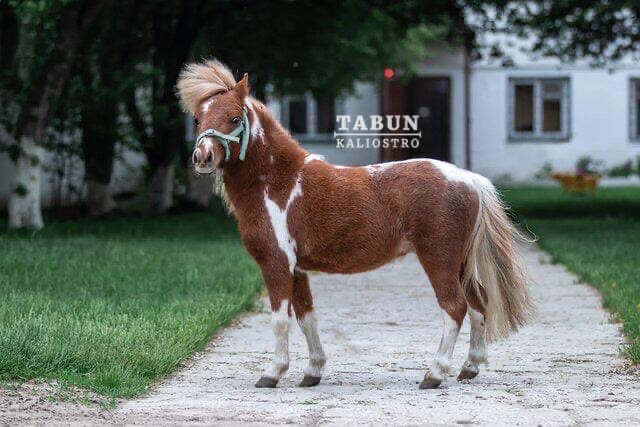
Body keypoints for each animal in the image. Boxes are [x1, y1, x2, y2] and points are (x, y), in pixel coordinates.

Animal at [176, 61, 536, 392]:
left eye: (235, 118)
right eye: (197, 119)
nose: (202, 157)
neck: (278, 183)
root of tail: (470, 180)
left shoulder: (276, 264)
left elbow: (280, 320)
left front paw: (272, 373)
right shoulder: (298, 269)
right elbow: (307, 318)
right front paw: (313, 372)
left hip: (439, 258)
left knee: (455, 307)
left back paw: (433, 375)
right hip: (460, 262)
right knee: (478, 304)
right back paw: (469, 368)